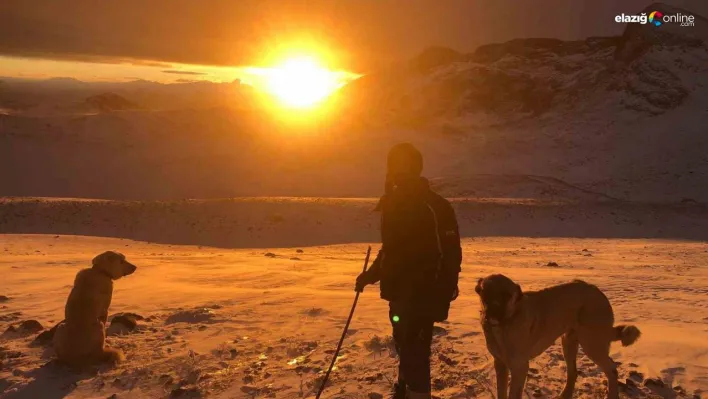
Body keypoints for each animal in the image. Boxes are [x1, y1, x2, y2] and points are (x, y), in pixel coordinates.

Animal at [476, 276, 640, 399]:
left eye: (507, 296)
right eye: (485, 293)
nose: (492, 315)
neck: (505, 324)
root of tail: (598, 292)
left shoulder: (519, 367)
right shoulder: (500, 364)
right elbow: (501, 392)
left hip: (591, 343)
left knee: (611, 368)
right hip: (568, 342)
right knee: (573, 372)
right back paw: (565, 394)